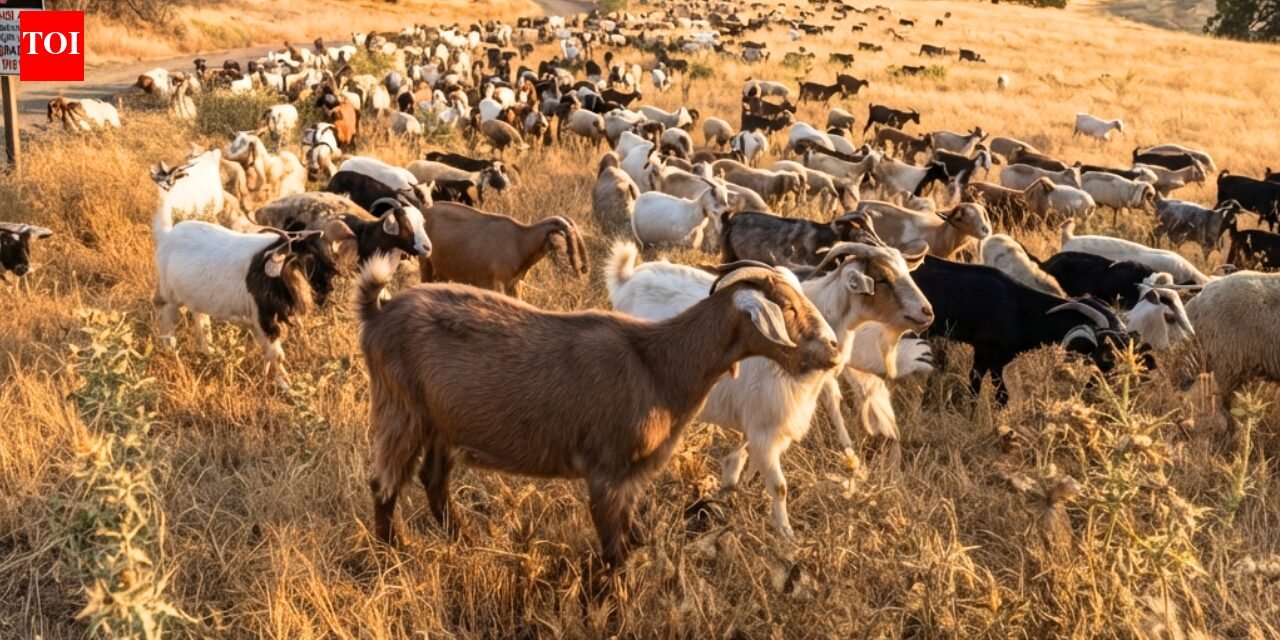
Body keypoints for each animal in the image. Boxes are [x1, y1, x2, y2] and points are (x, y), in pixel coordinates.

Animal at [356, 253, 840, 567]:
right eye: (788, 307)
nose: (833, 349)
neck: (660, 363)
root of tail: (377, 314)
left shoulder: (632, 477)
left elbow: (628, 544)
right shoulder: (608, 473)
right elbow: (614, 552)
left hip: (443, 424)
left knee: (433, 479)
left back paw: (464, 540)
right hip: (401, 410)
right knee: (384, 482)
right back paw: (392, 553)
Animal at [417, 202, 587, 298]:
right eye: (564, 243)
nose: (579, 270)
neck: (520, 241)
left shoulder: (514, 285)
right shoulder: (496, 284)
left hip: (443, 273)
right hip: (426, 263)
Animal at [607, 241, 930, 538]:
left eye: (906, 271)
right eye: (883, 279)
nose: (927, 312)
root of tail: (628, 277)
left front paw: (738, 483)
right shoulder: (768, 414)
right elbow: (780, 481)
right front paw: (785, 535)